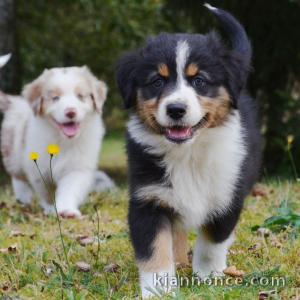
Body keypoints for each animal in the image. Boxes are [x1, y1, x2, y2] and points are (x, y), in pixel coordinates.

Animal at [116, 4, 262, 298]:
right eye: (157, 81)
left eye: (199, 81)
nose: (176, 109)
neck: (188, 153)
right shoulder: (149, 198)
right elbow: (155, 249)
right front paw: (159, 289)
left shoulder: (227, 195)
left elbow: (212, 243)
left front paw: (208, 277)